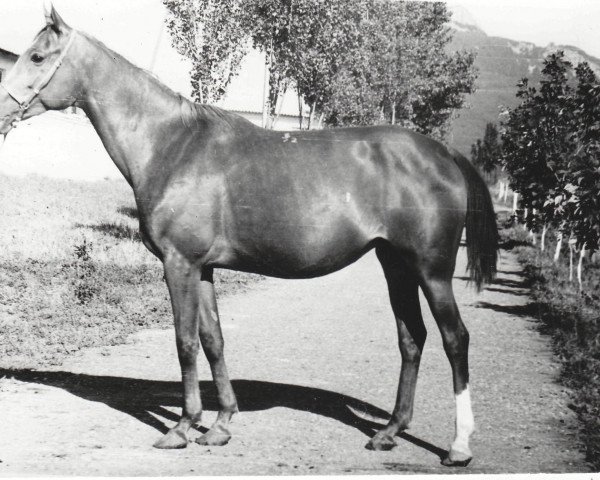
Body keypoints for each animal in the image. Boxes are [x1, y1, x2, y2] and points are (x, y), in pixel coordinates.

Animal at [0, 5, 496, 466]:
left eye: (37, 56)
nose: (2, 112)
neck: (172, 145)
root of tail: (443, 153)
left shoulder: (179, 264)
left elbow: (184, 343)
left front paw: (182, 428)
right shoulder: (202, 269)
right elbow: (213, 341)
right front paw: (220, 425)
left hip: (431, 271)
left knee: (456, 339)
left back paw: (459, 447)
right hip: (395, 265)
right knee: (412, 339)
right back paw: (389, 432)